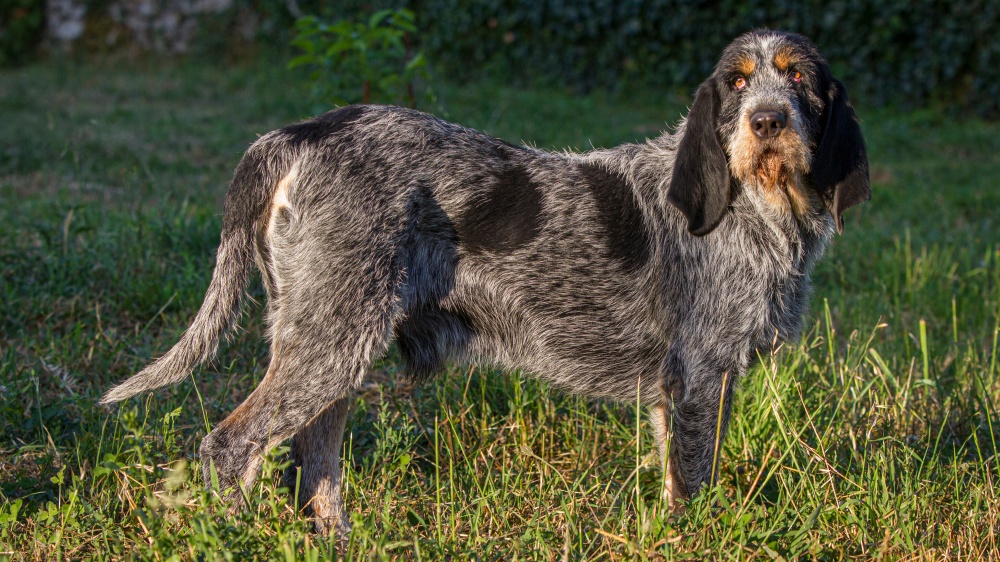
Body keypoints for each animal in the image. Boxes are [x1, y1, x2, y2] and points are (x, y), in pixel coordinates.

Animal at [99, 29, 868, 532]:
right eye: (737, 82)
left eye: (798, 78)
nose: (766, 121)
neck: (757, 205)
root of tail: (302, 132)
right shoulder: (703, 377)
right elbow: (694, 484)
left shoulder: (681, 390)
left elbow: (673, 475)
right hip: (332, 344)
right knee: (231, 447)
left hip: (329, 342)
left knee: (312, 461)